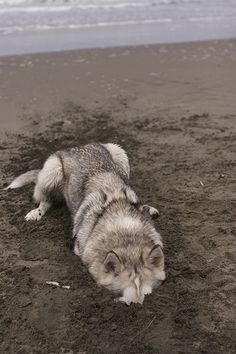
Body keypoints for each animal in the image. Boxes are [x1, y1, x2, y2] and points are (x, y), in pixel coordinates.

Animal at [6, 143, 166, 304]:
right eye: (128, 303)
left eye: (148, 296)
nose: (138, 306)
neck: (125, 233)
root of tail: (78, 146)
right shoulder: (79, 247)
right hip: (52, 171)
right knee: (46, 200)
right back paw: (36, 212)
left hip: (119, 154)